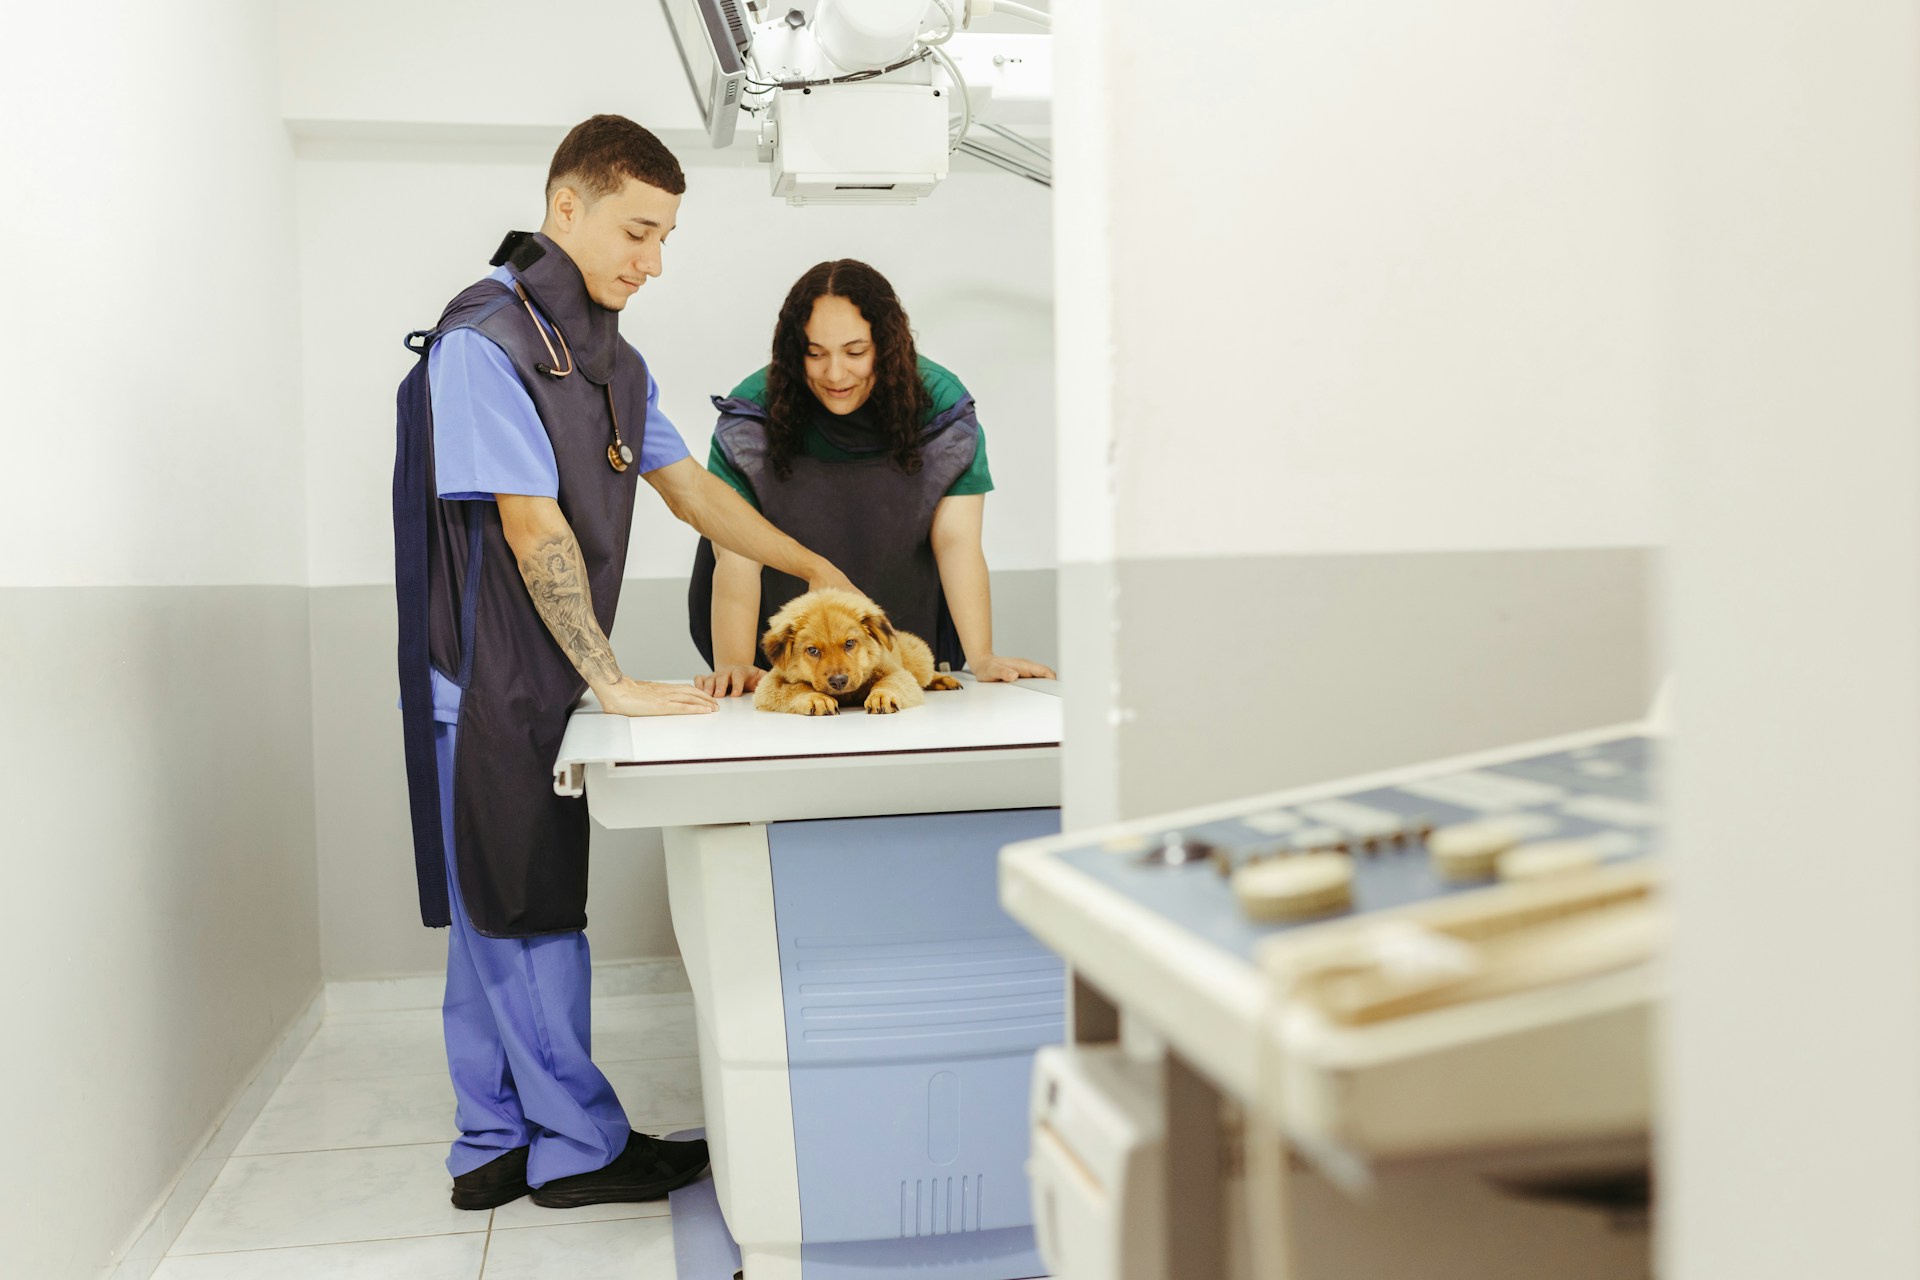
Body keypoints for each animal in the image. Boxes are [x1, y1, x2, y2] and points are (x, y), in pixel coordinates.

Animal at [748, 587, 960, 717]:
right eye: (812, 650)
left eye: (849, 643)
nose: (838, 681)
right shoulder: (768, 685)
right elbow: (795, 688)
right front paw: (817, 699)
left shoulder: (896, 671)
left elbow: (889, 682)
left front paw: (881, 696)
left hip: (919, 659)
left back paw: (944, 679)